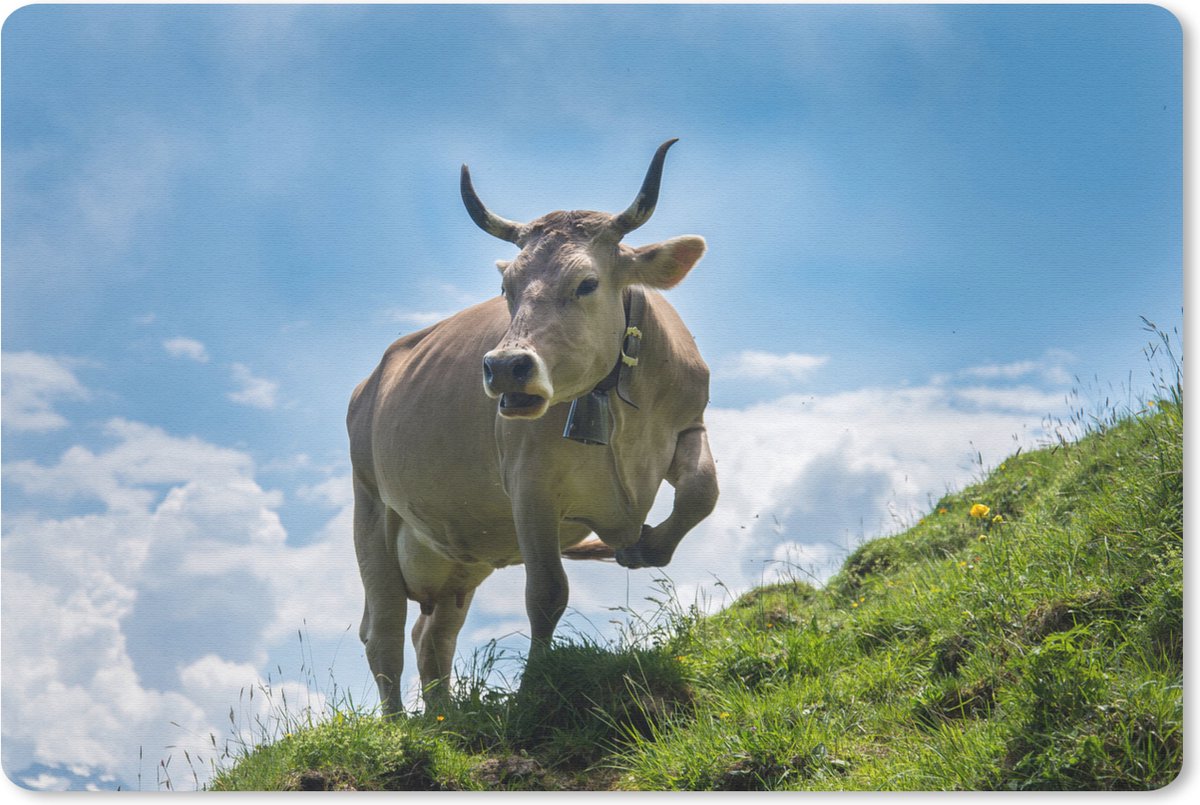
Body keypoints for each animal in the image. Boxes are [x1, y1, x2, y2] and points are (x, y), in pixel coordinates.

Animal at [347, 139, 718, 714]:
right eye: (507, 287)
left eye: (586, 283)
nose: (505, 367)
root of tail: (371, 383)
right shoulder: (530, 487)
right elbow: (546, 592)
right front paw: (534, 687)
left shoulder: (689, 426)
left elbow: (703, 491)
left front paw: (642, 547)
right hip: (371, 512)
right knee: (383, 629)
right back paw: (398, 724)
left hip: (462, 554)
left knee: (433, 635)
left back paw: (442, 718)